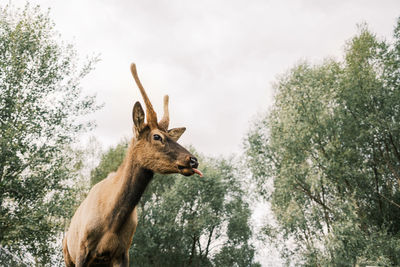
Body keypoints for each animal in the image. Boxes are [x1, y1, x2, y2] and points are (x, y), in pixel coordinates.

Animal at [62, 63, 203, 266]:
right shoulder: (83, 250)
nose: (193, 160)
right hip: (68, 255)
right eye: (157, 136)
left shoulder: (122, 253)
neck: (111, 223)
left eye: (170, 136)